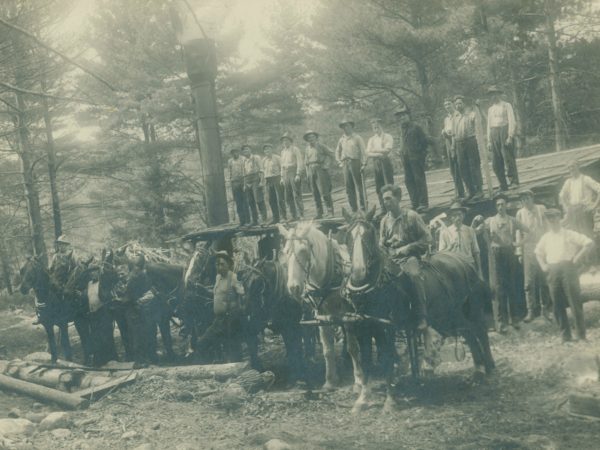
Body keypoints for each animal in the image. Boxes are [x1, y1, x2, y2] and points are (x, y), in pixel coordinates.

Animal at [280, 223, 372, 414]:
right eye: (285, 251)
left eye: (303, 250)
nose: (293, 288)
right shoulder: (322, 317)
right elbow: (327, 350)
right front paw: (330, 381)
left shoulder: (347, 316)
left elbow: (353, 348)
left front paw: (358, 382)